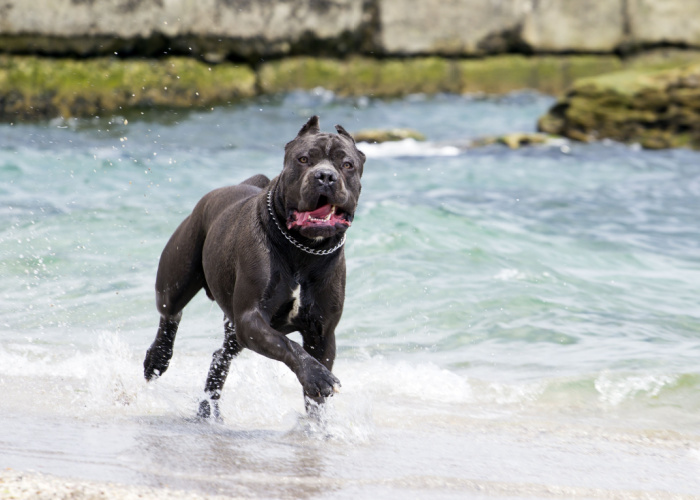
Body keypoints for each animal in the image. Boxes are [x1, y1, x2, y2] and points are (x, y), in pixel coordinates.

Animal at [143, 115, 366, 416]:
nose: (325, 176)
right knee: (170, 312)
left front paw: (316, 418)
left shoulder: (322, 333)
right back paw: (157, 359)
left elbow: (314, 397)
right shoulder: (252, 318)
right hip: (178, 276)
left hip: (234, 328)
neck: (304, 248)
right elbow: (289, 345)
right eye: (304, 159)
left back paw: (207, 410)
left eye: (347, 165)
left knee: (220, 357)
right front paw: (317, 376)